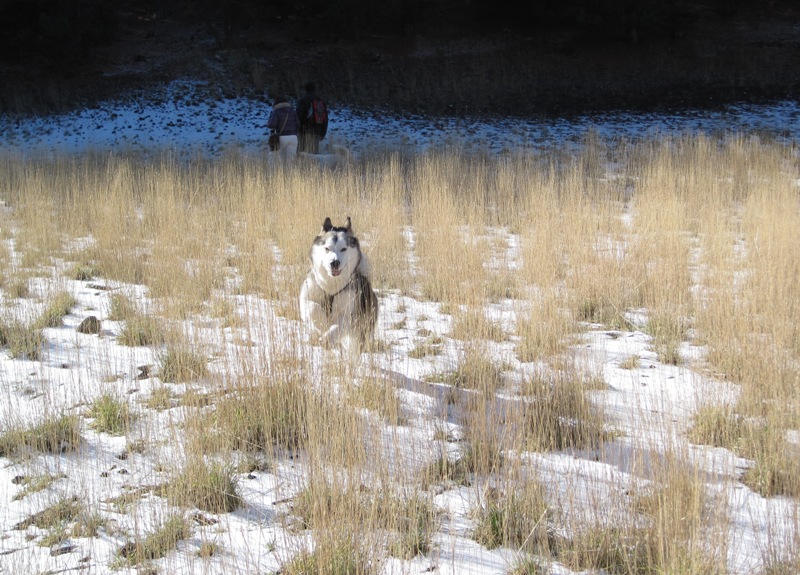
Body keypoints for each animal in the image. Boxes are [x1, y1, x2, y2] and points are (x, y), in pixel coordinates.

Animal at [300, 217, 378, 360]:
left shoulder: (352, 315)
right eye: (327, 248)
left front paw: (327, 337)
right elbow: (313, 309)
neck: (331, 286)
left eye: (343, 249)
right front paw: (323, 325)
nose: (334, 262)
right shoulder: (307, 299)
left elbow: (339, 325)